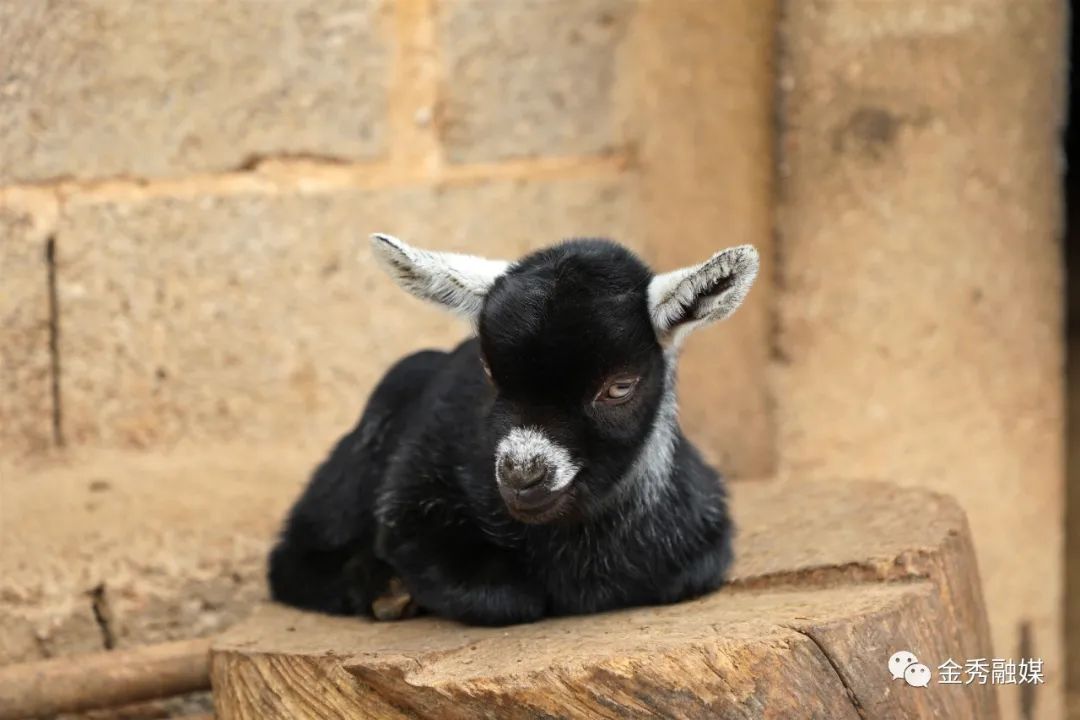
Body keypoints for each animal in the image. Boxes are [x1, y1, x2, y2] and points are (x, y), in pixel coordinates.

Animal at [270, 235, 760, 626]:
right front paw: (392, 586)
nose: (522, 476)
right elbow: (507, 598)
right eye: (488, 369)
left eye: (620, 386)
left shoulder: (699, 550)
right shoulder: (408, 507)